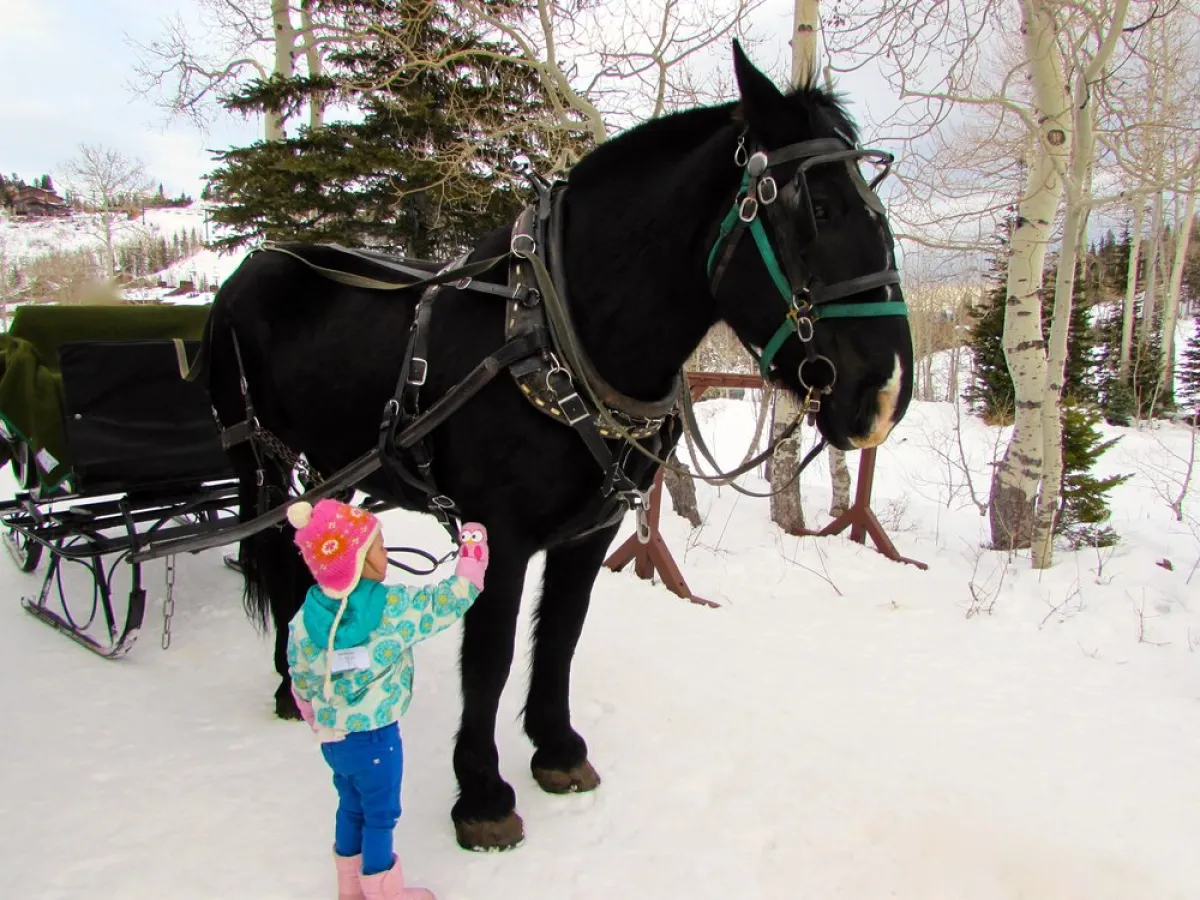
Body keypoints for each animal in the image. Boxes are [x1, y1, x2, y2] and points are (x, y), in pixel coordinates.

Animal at [200, 41, 913, 852]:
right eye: (819, 210)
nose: (887, 392)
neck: (558, 334)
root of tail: (251, 267)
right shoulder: (498, 534)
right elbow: (490, 655)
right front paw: (480, 794)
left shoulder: (589, 532)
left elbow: (562, 633)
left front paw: (557, 748)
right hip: (261, 460)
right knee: (274, 559)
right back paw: (290, 687)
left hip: (330, 467)